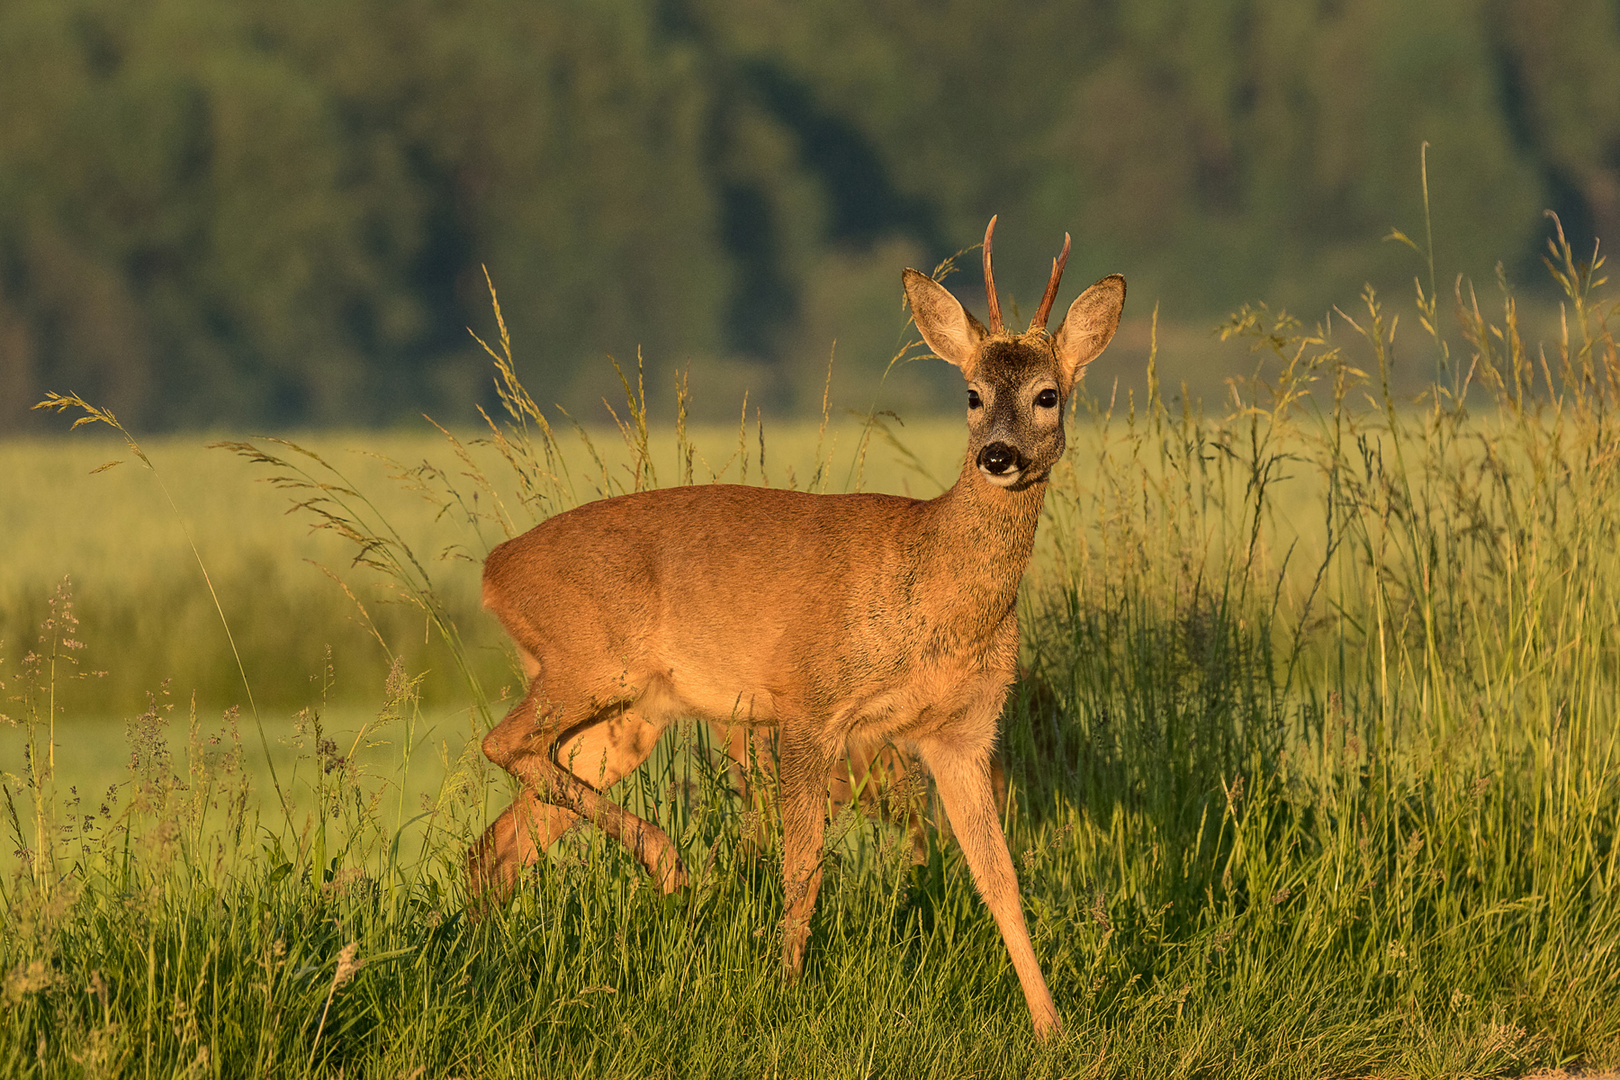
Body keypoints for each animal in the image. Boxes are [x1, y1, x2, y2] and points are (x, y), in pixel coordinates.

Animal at [473, 220, 1127, 1036]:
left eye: (1048, 395)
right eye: (971, 394)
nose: (997, 455)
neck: (933, 586)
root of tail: (494, 568)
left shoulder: (962, 732)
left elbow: (998, 878)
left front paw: (1051, 1026)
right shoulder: (810, 704)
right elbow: (803, 868)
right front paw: (785, 991)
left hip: (627, 716)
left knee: (501, 838)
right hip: (588, 661)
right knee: (501, 746)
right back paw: (666, 861)